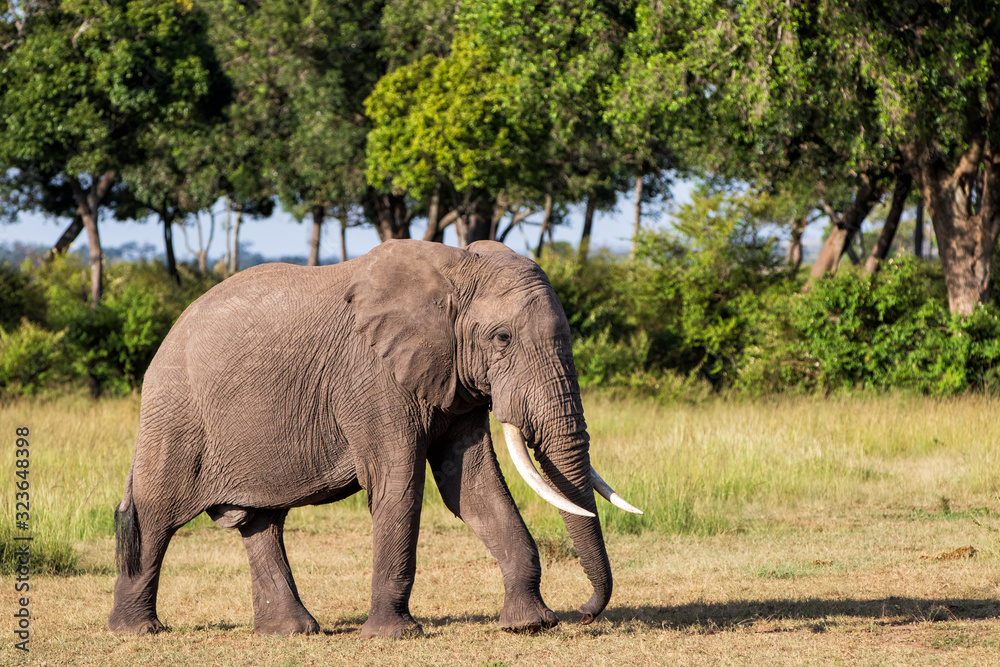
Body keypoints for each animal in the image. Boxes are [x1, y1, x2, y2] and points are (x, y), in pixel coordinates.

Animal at [107, 239, 641, 639]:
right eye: (502, 338)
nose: (584, 612)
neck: (454, 268)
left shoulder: (451, 377)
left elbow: (472, 486)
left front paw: (530, 625)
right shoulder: (373, 377)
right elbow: (399, 483)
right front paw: (395, 635)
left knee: (262, 522)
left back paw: (292, 632)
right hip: (174, 415)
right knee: (155, 516)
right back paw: (137, 631)